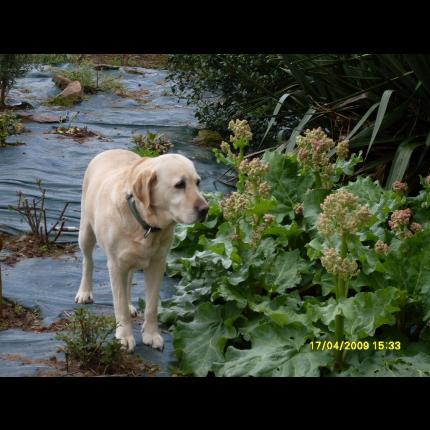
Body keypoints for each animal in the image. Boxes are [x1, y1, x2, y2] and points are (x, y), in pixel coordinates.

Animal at [75, 149, 208, 352]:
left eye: (198, 182)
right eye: (179, 184)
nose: (206, 209)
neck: (147, 225)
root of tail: (110, 150)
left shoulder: (157, 264)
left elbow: (152, 305)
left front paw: (151, 335)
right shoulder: (115, 265)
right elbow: (119, 304)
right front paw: (124, 336)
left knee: (128, 280)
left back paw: (130, 304)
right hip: (86, 232)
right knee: (88, 261)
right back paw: (84, 292)